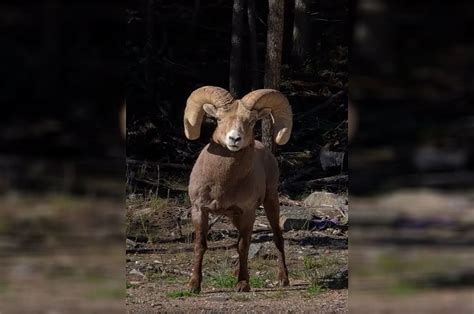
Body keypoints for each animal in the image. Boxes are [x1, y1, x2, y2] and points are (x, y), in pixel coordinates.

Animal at [184, 86, 292, 292]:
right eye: (219, 119)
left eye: (250, 121)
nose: (234, 139)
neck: (222, 184)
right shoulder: (199, 210)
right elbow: (200, 245)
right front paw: (194, 285)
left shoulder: (248, 212)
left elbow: (243, 246)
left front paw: (243, 284)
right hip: (235, 217)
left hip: (270, 202)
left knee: (278, 238)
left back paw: (284, 279)